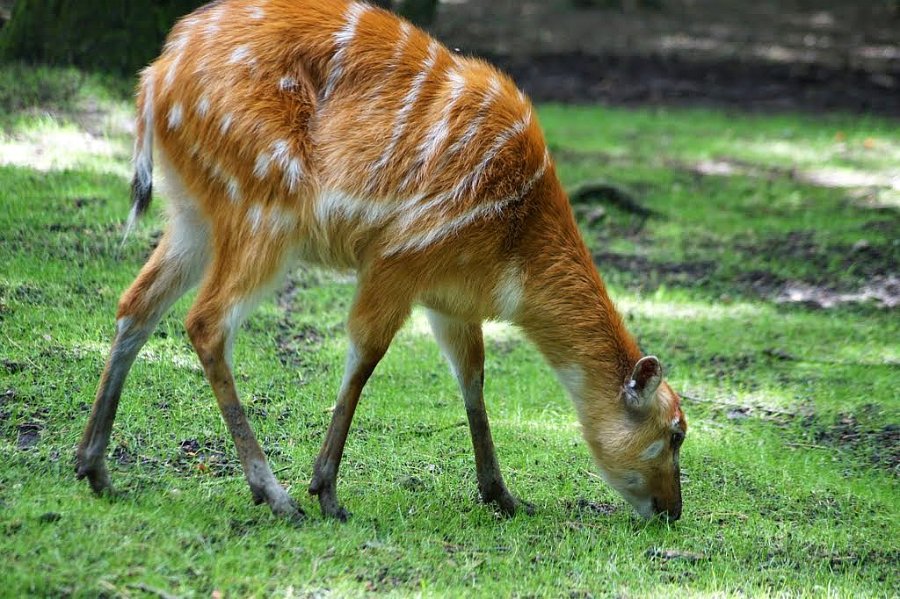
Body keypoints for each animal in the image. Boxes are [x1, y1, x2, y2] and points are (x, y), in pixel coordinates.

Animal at [74, 0, 684, 524]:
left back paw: (94, 466)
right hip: (264, 207)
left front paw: (503, 495)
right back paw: (274, 493)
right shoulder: (397, 258)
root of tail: (154, 79)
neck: (514, 255)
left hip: (192, 213)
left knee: (136, 303)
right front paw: (325, 491)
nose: (673, 510)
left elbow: (472, 377)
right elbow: (365, 355)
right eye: (676, 432)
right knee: (205, 321)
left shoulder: (450, 299)